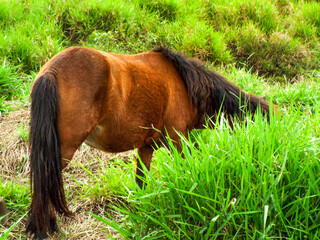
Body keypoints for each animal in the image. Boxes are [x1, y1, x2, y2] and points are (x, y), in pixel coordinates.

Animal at [25, 46, 272, 238]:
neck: (185, 86)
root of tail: (52, 71)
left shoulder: (146, 148)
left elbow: (141, 182)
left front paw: (142, 212)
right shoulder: (178, 141)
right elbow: (186, 171)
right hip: (63, 150)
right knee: (46, 179)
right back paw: (43, 227)